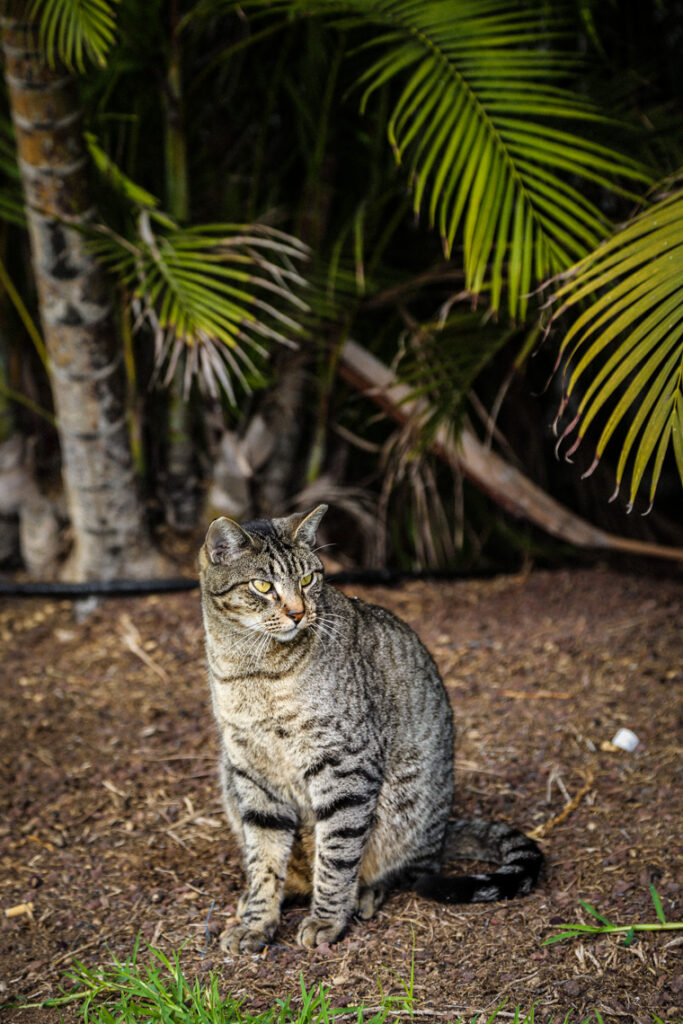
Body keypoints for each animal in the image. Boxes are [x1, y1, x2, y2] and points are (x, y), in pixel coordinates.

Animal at [198, 503, 544, 950]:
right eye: (262, 585)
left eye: (308, 579)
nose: (298, 613)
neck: (252, 669)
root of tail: (444, 831)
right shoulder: (251, 770)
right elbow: (264, 857)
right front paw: (259, 920)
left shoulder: (344, 763)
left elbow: (337, 855)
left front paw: (327, 919)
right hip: (229, 779)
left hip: (406, 807)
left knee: (402, 867)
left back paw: (364, 894)